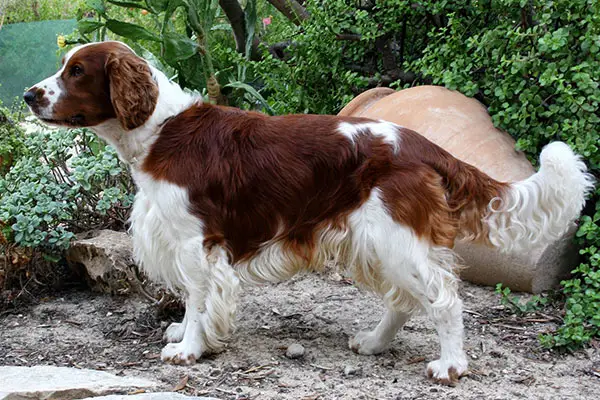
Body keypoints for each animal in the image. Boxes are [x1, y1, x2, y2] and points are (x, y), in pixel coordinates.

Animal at [24, 40, 596, 384]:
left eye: (76, 71)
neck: (161, 131)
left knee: (443, 300)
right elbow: (194, 300)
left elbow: (197, 298)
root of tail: (423, 145)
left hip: (394, 237)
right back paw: (373, 343)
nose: (29, 94)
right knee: (405, 301)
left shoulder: (195, 242)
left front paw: (188, 348)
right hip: (376, 241)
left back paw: (450, 365)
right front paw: (188, 334)